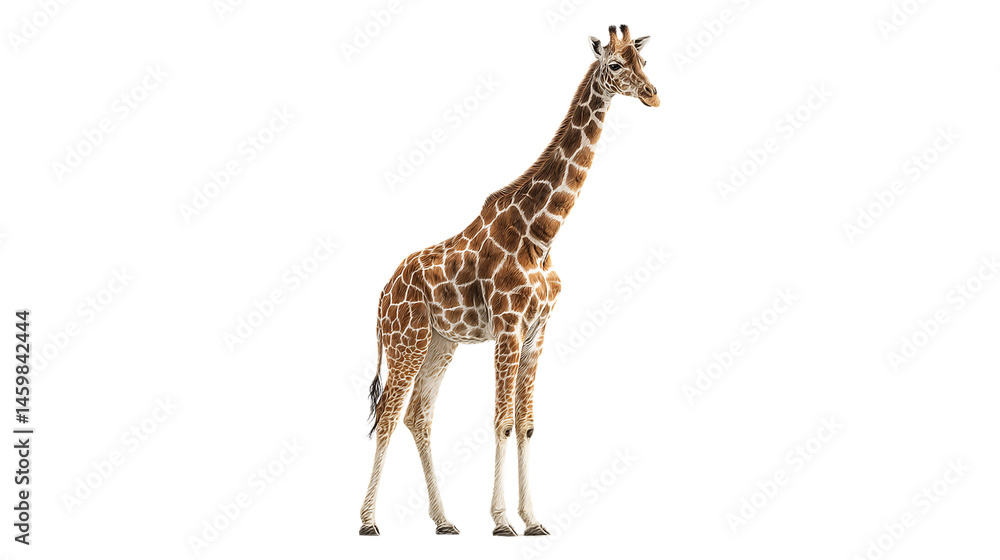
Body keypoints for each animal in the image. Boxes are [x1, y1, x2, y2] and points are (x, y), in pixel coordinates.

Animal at [359, 25, 658, 536]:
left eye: (644, 61)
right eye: (616, 65)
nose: (653, 94)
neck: (542, 233)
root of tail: (382, 294)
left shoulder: (538, 329)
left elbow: (526, 423)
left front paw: (533, 519)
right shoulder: (508, 325)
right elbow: (501, 420)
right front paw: (501, 521)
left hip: (441, 342)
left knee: (418, 415)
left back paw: (444, 521)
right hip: (407, 339)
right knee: (388, 414)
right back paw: (368, 522)